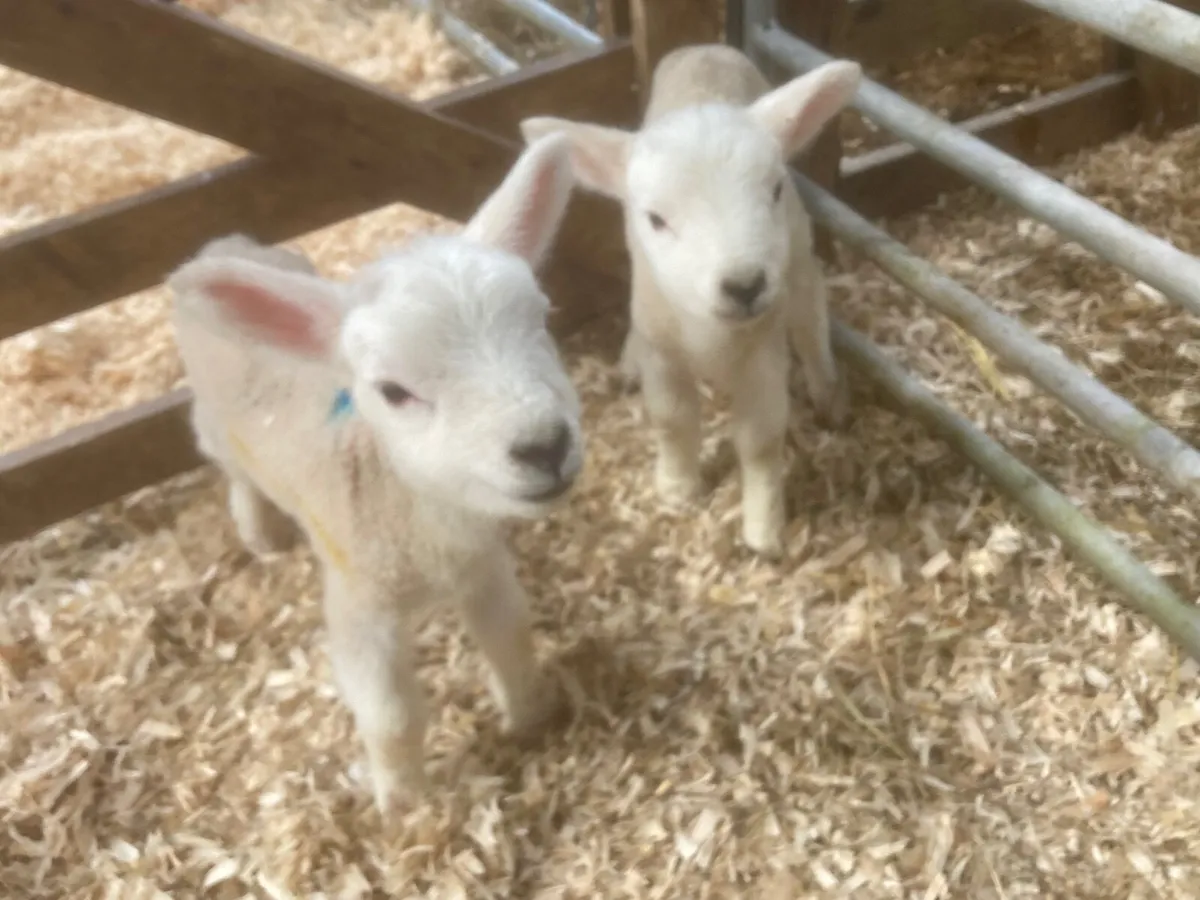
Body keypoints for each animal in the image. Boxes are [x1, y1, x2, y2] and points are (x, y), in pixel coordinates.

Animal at [166, 134, 585, 819]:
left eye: (545, 319)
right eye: (393, 391)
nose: (544, 446)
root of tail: (223, 242)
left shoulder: (483, 567)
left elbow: (511, 639)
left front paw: (532, 717)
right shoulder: (358, 601)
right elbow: (389, 716)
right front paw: (404, 802)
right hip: (212, 422)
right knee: (234, 471)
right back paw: (258, 532)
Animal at [520, 44, 862, 559]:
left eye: (774, 189)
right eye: (656, 219)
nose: (744, 285)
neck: (712, 334)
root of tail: (705, 48)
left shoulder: (763, 353)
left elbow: (761, 439)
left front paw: (764, 528)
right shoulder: (664, 350)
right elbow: (672, 419)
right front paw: (678, 489)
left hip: (797, 250)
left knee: (810, 312)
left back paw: (827, 389)